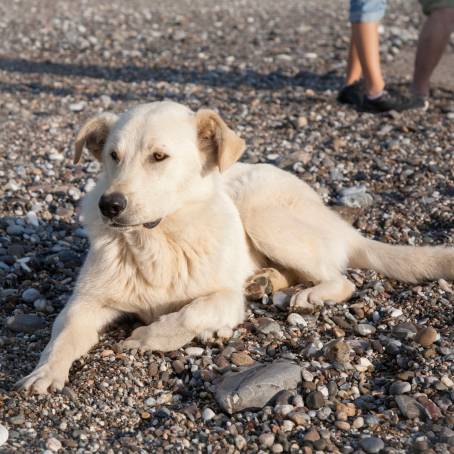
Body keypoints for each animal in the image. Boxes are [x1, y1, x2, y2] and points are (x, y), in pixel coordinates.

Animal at [19, 101, 454, 392]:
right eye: (113, 155)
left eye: (159, 156)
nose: (109, 206)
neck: (156, 241)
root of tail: (337, 220)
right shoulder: (86, 302)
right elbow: (63, 336)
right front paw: (45, 372)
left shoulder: (224, 296)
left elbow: (191, 312)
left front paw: (148, 338)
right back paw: (265, 282)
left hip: (260, 211)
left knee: (342, 278)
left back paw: (308, 295)